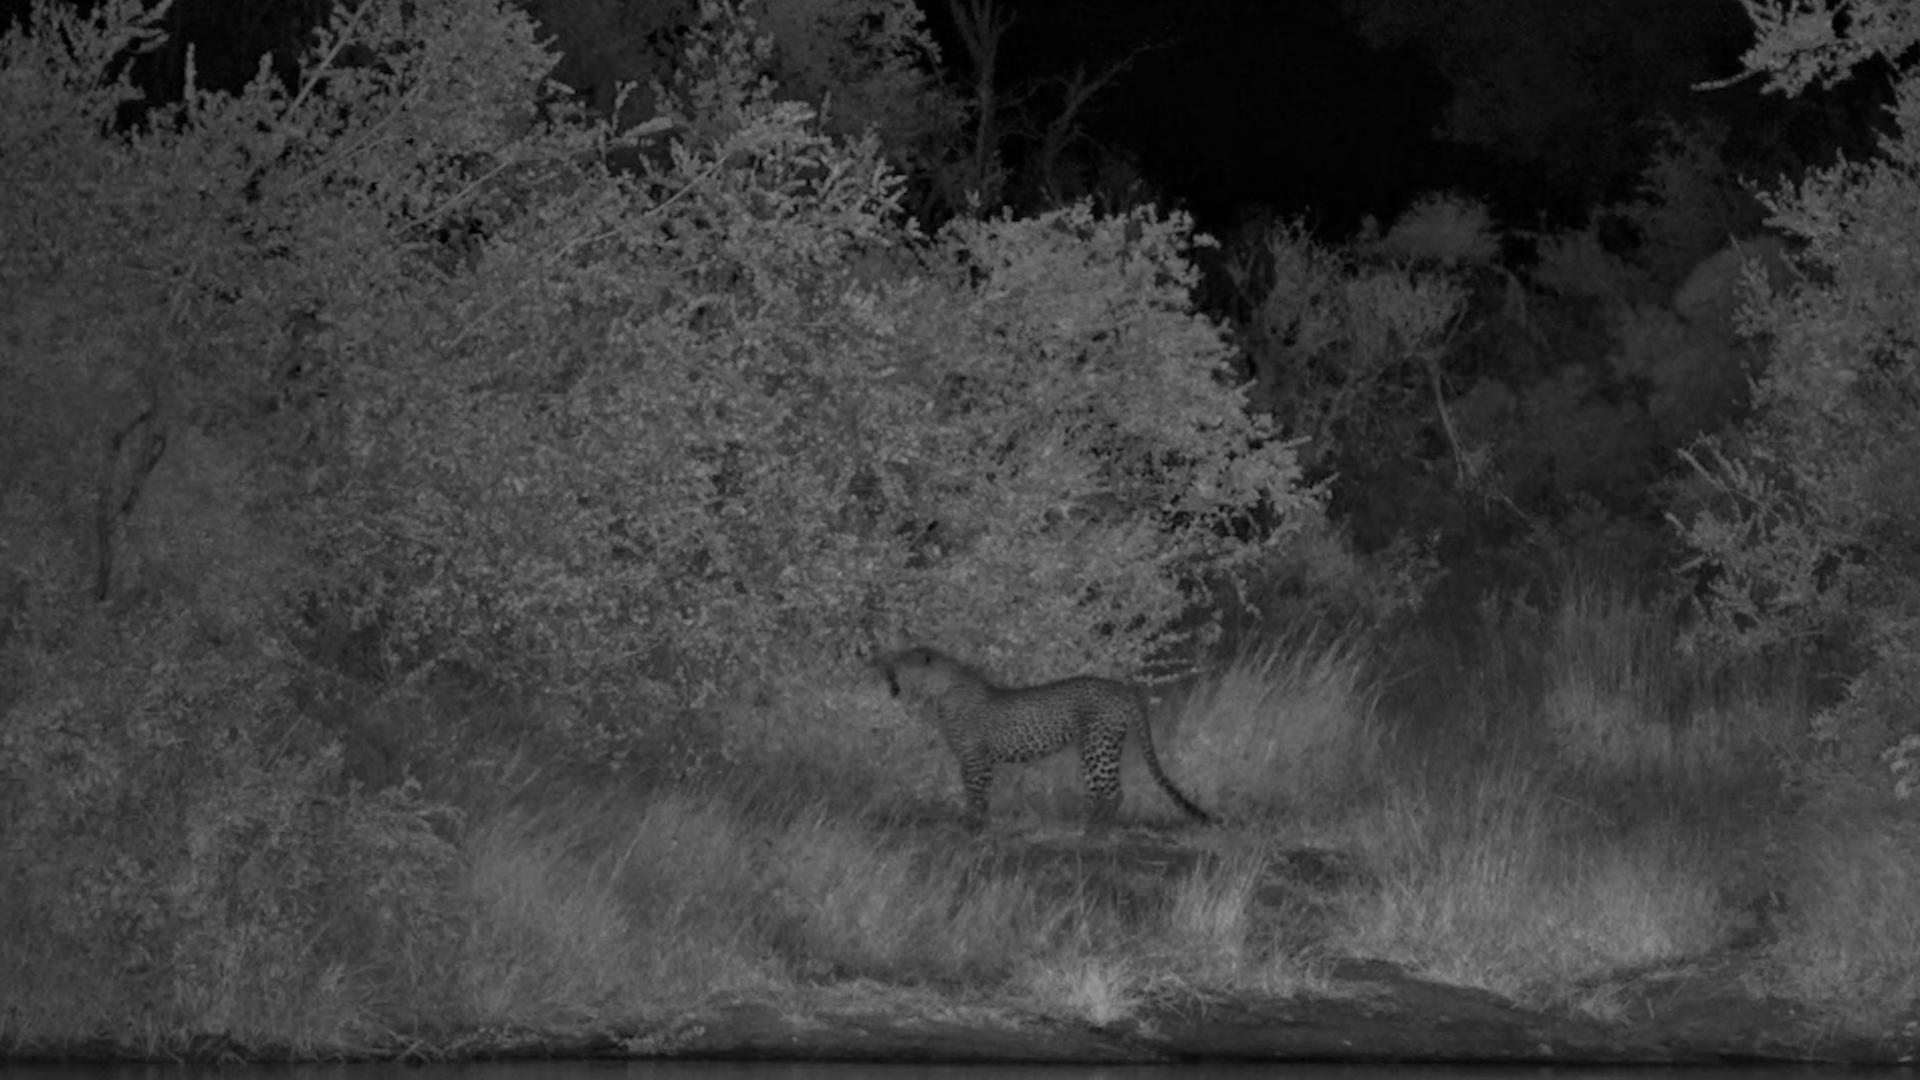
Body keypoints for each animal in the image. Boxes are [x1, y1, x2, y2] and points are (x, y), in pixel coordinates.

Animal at [876, 646, 1213, 830]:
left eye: (899, 661)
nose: (882, 666)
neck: (940, 690)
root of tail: (1121, 687)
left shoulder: (975, 759)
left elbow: (976, 793)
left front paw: (974, 824)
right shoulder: (972, 760)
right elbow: (975, 793)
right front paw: (976, 821)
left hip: (1098, 744)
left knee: (1114, 791)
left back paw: (1096, 827)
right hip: (1093, 748)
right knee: (1098, 790)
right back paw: (1085, 820)